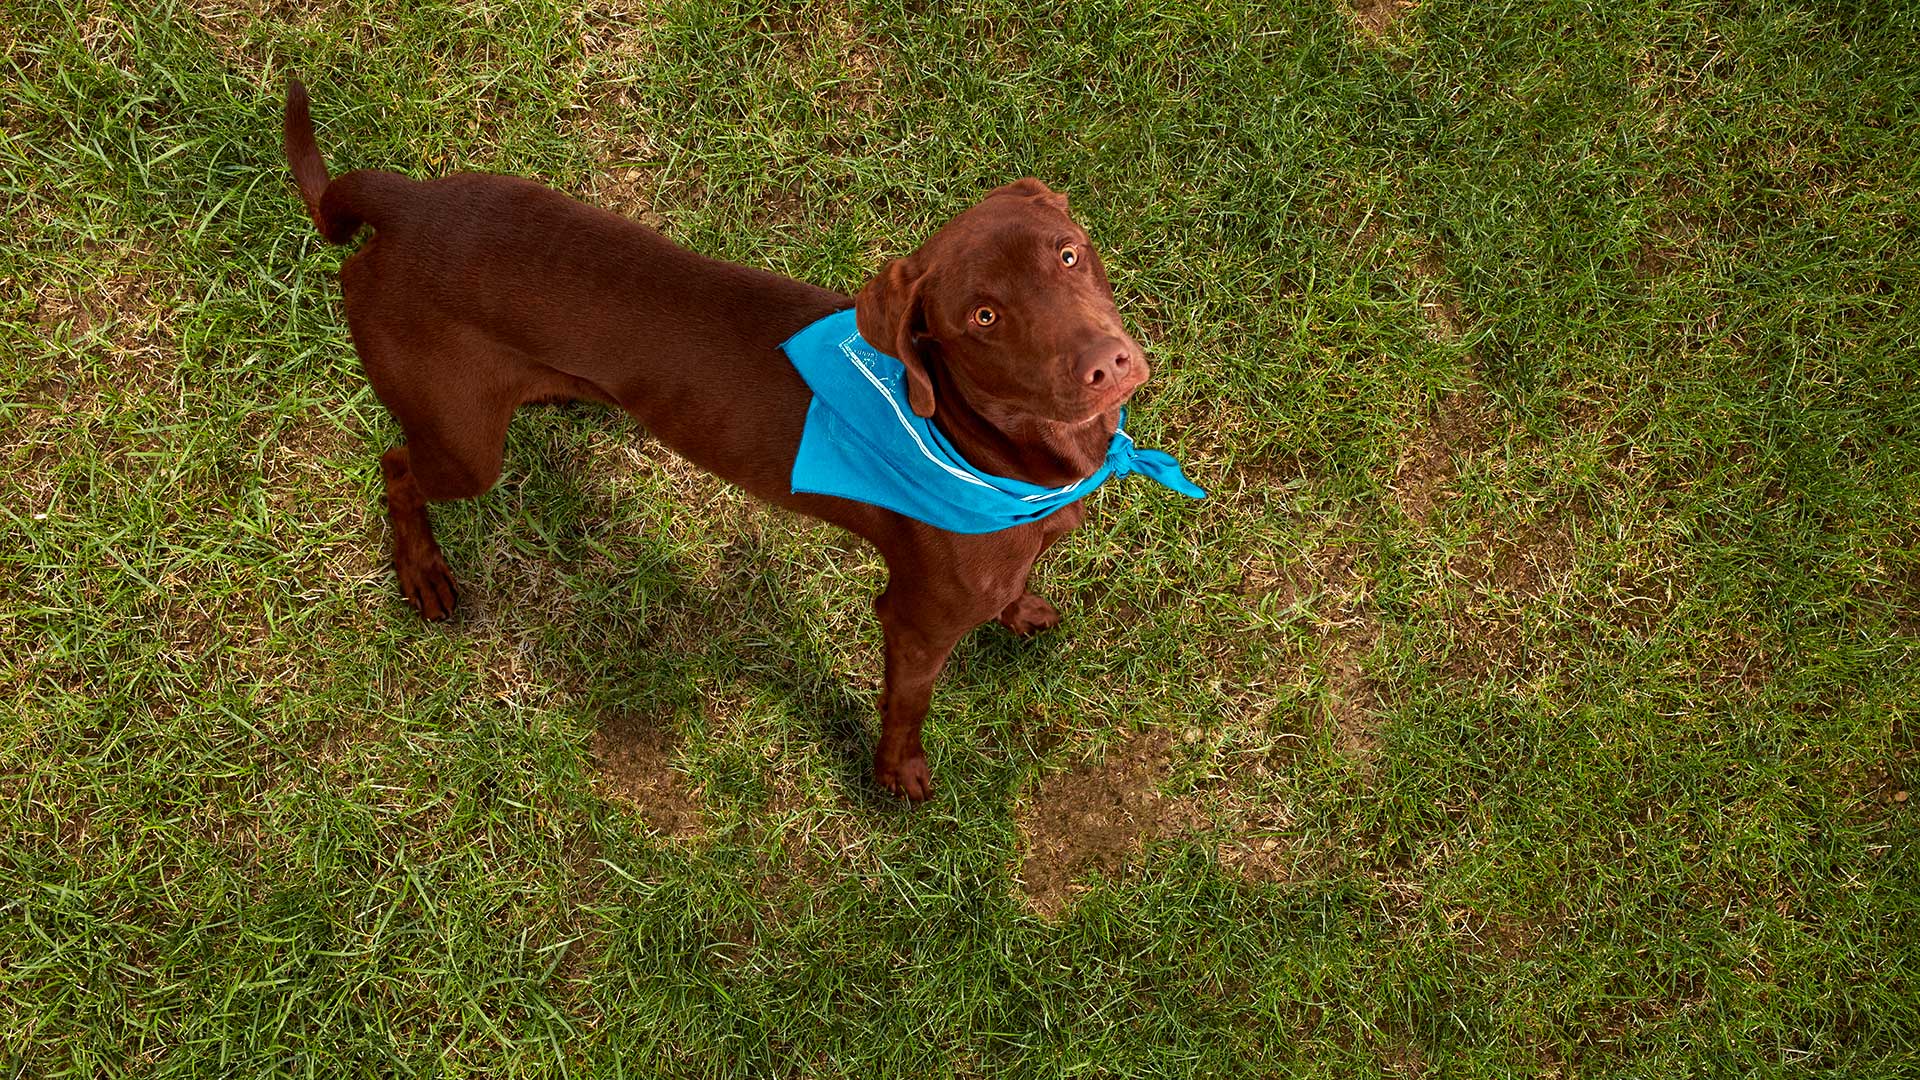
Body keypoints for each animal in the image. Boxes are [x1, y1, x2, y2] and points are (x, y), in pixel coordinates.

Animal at [278, 79, 1159, 795]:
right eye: (982, 316)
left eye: (1069, 254)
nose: (1108, 367)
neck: (1001, 455)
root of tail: (403, 202)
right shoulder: (914, 622)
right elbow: (906, 709)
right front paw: (896, 774)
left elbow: (1015, 588)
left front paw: (1024, 610)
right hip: (463, 447)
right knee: (396, 463)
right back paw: (422, 571)